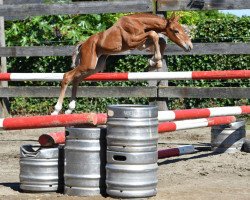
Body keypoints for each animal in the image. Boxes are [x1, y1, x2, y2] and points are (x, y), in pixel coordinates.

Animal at [51, 12, 193, 115]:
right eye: (176, 31)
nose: (189, 46)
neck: (138, 22)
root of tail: (84, 43)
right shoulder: (132, 41)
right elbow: (154, 34)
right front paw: (155, 61)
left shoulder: (140, 44)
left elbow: (159, 40)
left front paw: (155, 61)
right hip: (87, 64)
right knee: (67, 76)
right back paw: (56, 110)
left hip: (94, 67)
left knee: (76, 79)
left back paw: (70, 108)